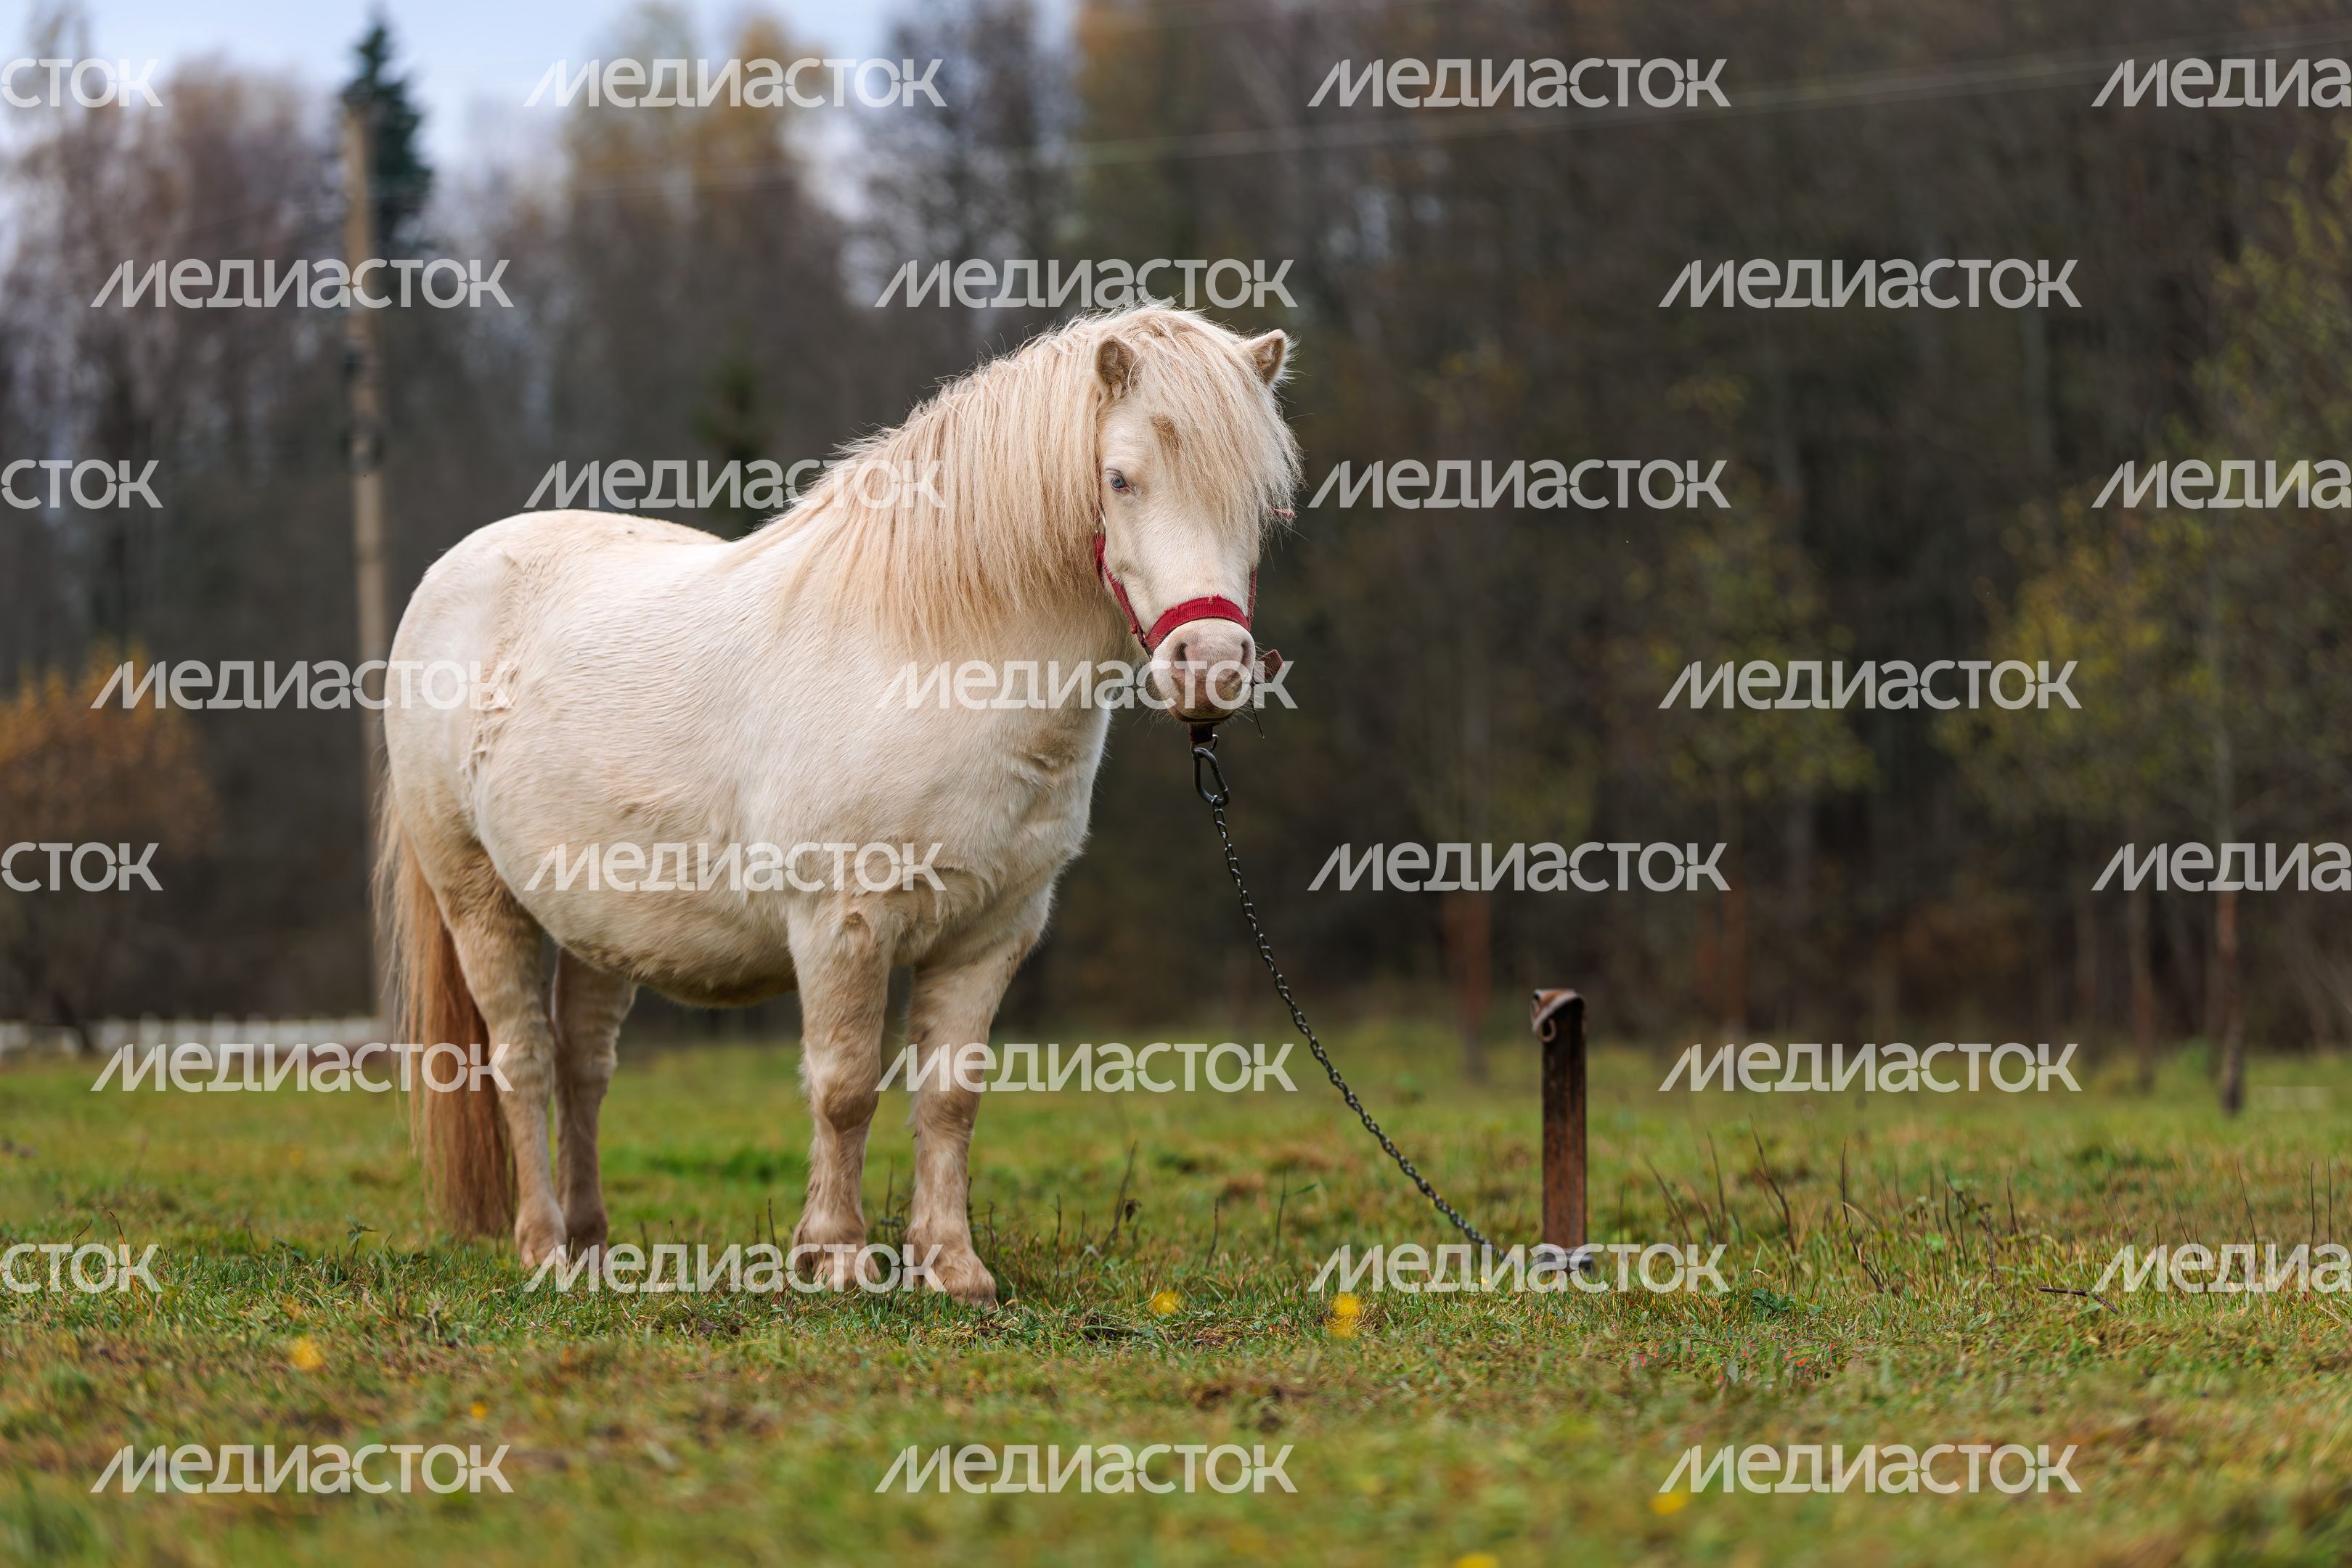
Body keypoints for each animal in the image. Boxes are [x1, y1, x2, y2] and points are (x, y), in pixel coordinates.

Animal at [376, 306, 1299, 1304]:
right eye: (1120, 478)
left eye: (1263, 500)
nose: (1211, 669)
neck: (934, 653)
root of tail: (448, 577)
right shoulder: (842, 923)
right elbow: (847, 1086)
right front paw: (839, 1256)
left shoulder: (992, 934)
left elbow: (951, 1096)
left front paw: (951, 1265)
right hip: (480, 901)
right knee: (522, 1061)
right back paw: (545, 1249)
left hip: (598, 920)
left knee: (584, 1065)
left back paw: (593, 1245)